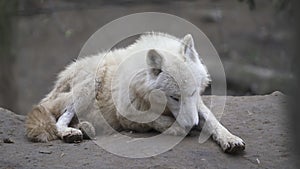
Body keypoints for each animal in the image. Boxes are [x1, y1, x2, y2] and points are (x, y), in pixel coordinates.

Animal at [25, 31, 245, 153]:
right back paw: (70, 132)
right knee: (59, 120)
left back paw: (85, 128)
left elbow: (213, 120)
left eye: (191, 93)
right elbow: (155, 120)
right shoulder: (125, 114)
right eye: (174, 97)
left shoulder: (197, 103)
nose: (193, 124)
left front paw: (230, 139)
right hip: (89, 84)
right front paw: (179, 128)